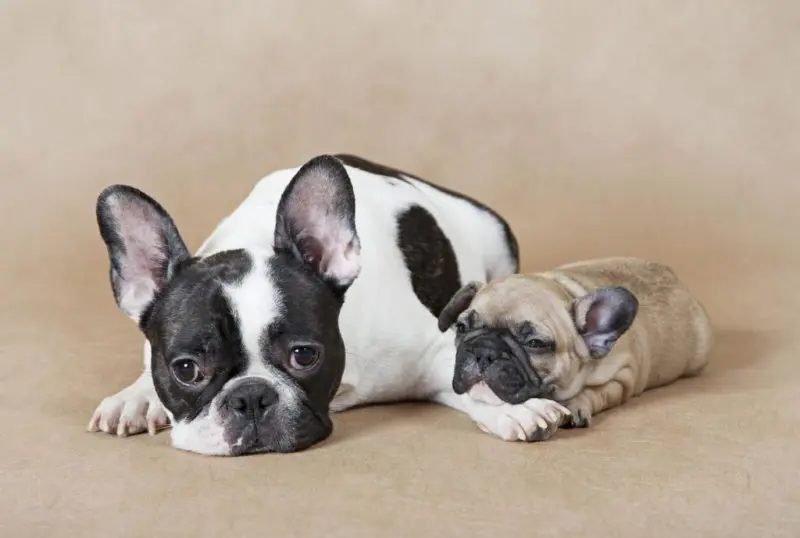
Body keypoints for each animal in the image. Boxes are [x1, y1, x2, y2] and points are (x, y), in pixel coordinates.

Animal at [89, 154, 568, 452]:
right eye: (186, 369)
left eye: (304, 355)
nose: (250, 397)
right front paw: (139, 395)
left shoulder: (434, 348)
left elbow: (469, 372)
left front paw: (516, 408)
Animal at [438, 256, 712, 440]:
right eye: (461, 327)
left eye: (535, 344)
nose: (484, 351)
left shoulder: (624, 376)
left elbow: (594, 392)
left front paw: (575, 405)